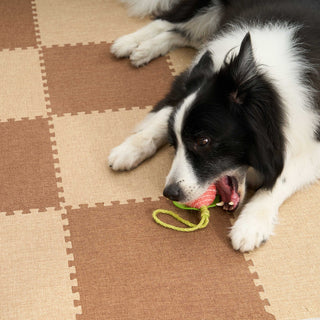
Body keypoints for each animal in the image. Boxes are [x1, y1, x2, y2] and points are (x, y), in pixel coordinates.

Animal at [108, 0, 320, 251]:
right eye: (173, 144)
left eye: (203, 141)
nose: (170, 193)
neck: (265, 78)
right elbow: (164, 116)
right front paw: (130, 149)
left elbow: (281, 177)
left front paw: (250, 225)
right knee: (168, 22)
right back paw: (130, 44)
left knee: (183, 34)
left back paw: (144, 49)